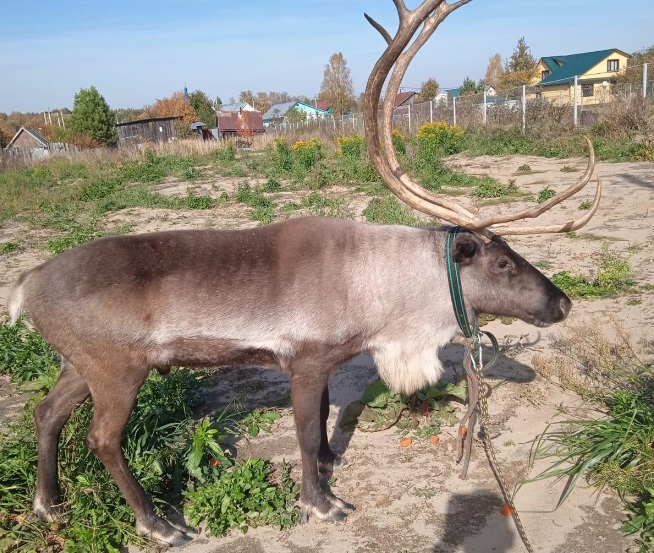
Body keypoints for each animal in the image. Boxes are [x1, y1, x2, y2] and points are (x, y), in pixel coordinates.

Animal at [5, 0, 601, 547]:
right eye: (501, 261)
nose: (563, 303)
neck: (378, 290)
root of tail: (26, 282)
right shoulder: (305, 360)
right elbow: (306, 431)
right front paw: (322, 502)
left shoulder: (328, 361)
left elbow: (323, 425)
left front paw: (331, 466)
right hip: (117, 369)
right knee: (101, 438)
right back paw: (158, 524)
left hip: (78, 365)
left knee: (45, 413)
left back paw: (48, 505)